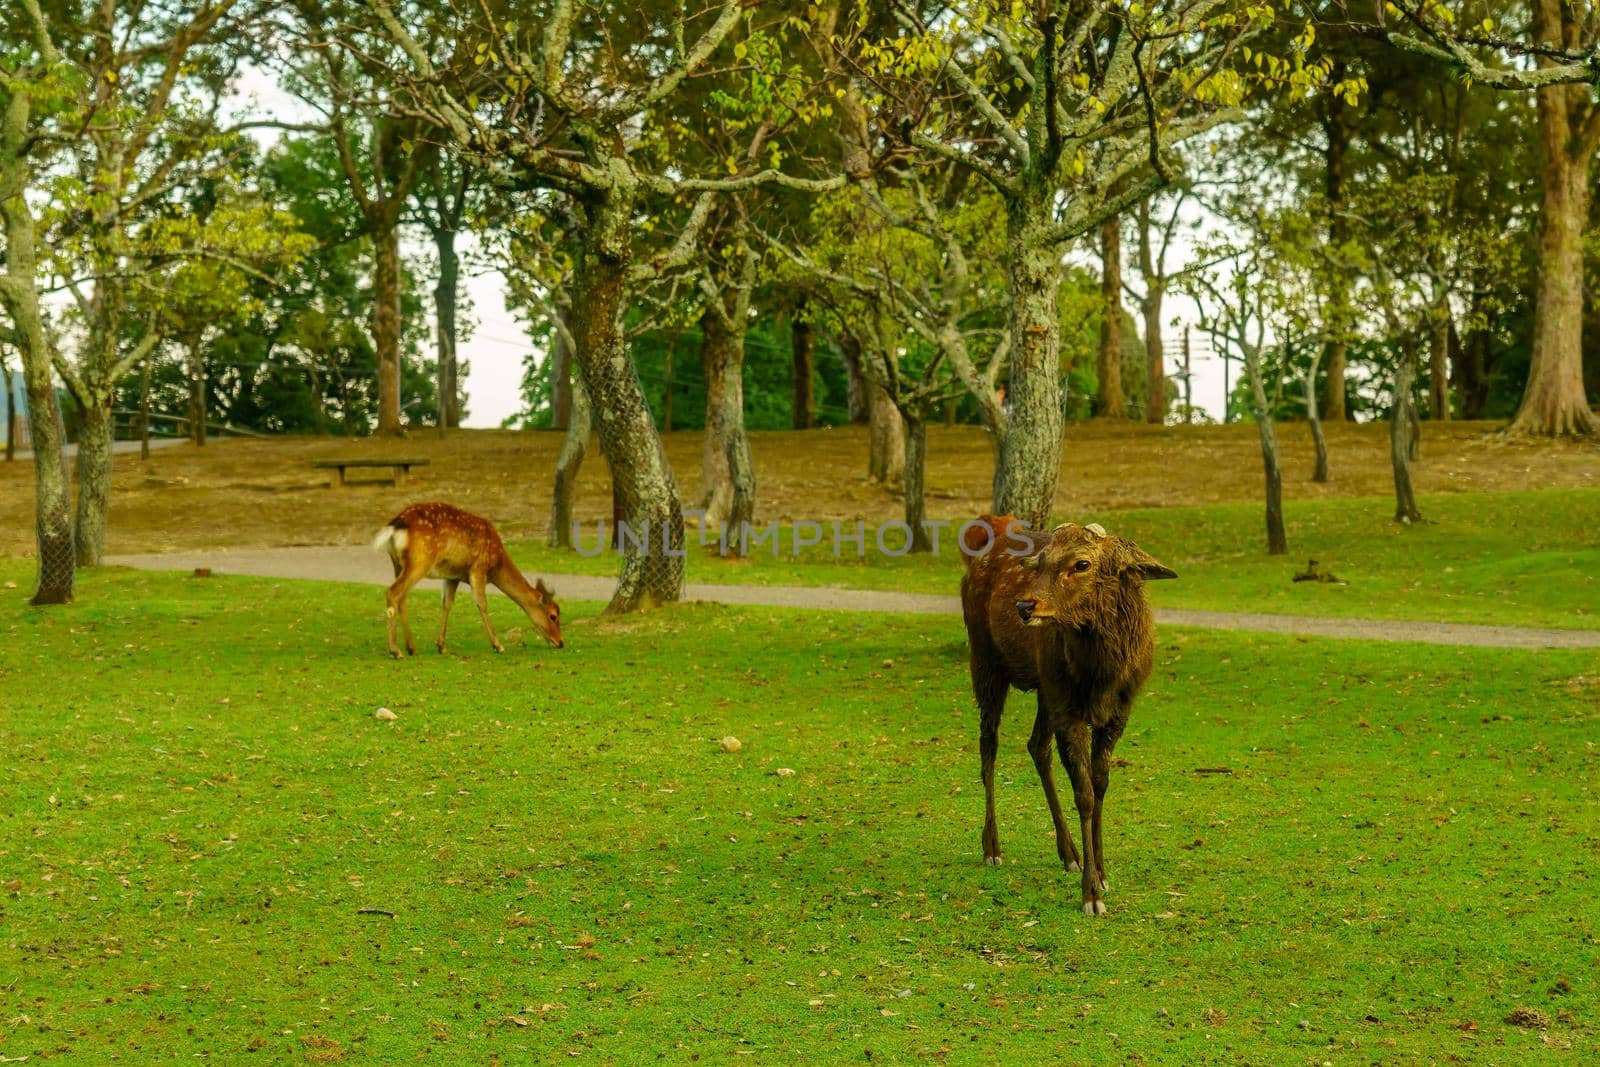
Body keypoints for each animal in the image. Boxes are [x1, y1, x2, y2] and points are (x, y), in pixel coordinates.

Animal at [371, 502, 566, 659]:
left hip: (397, 563)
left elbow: (447, 604)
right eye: (553, 615)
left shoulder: (452, 575)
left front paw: (441, 646)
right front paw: (498, 645)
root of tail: (395, 526)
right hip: (420, 561)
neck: (497, 563)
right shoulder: (478, 569)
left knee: (402, 598)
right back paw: (395, 651)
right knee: (393, 592)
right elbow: (482, 604)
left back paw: (411, 648)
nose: (561, 642)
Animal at [960, 511, 1177, 915]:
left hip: (1045, 688)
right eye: (1041, 563)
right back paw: (992, 845)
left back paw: (1069, 853)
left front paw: (1102, 872)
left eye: (1082, 564)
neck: (1102, 675)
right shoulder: (1070, 708)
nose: (1024, 607)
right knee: (988, 744)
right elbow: (1084, 793)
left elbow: (1101, 784)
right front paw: (1090, 893)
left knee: (1035, 745)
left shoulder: (1119, 711)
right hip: (986, 659)